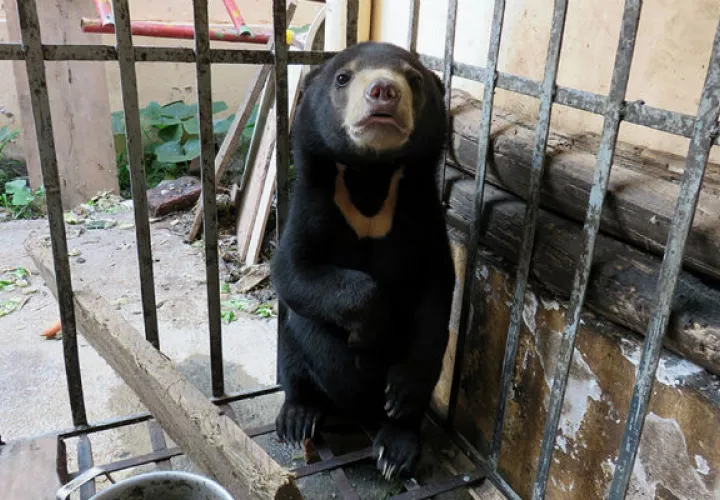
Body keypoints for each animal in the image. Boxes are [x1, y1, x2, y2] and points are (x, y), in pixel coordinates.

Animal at [270, 41, 455, 481]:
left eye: (414, 79)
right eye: (343, 77)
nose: (383, 91)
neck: (371, 175)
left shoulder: (422, 209)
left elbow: (437, 287)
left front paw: (401, 391)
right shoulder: (313, 199)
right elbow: (293, 272)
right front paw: (364, 335)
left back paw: (396, 447)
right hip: (292, 350)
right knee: (292, 352)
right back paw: (299, 418)